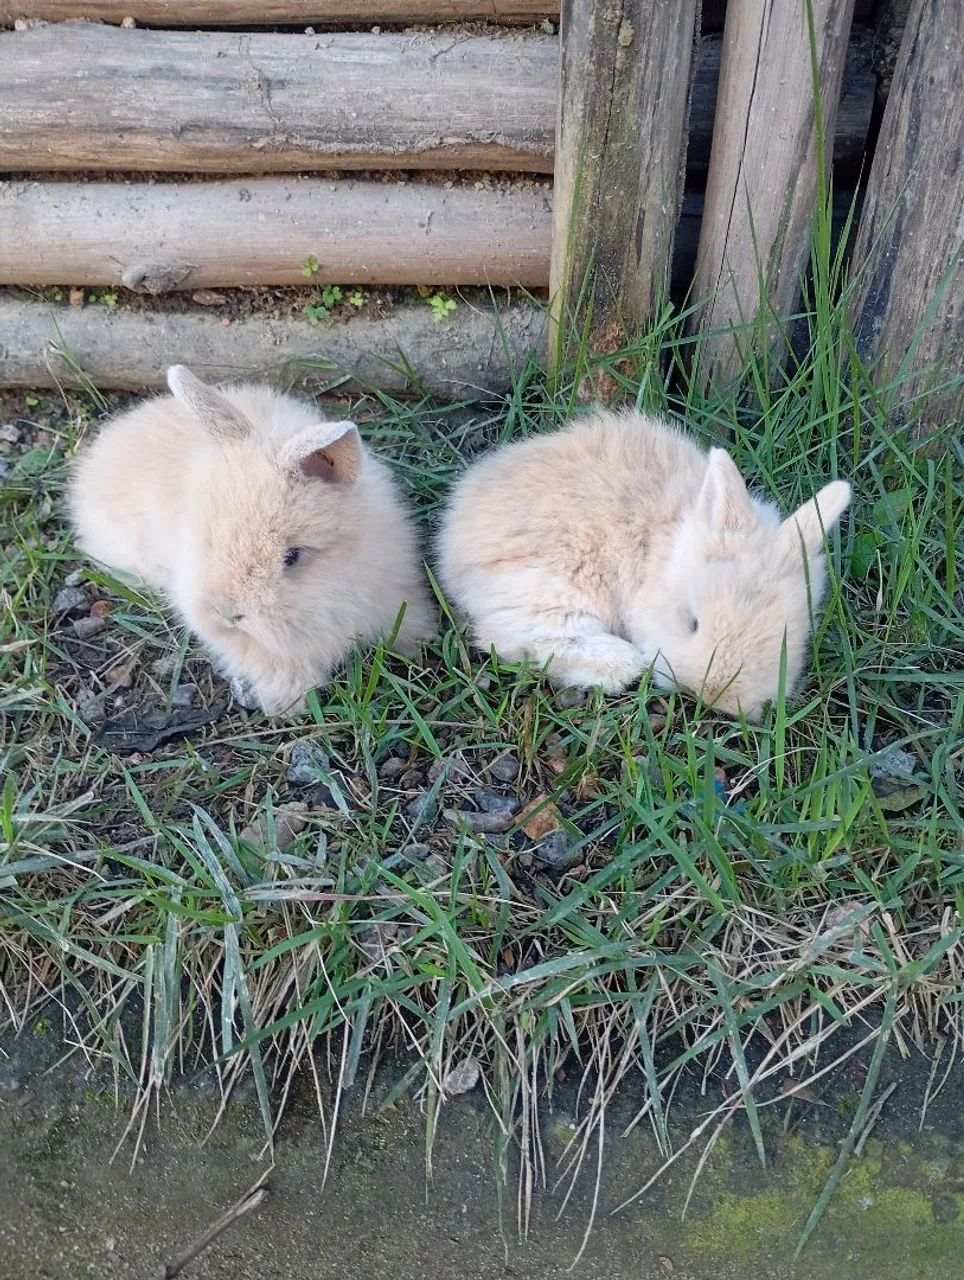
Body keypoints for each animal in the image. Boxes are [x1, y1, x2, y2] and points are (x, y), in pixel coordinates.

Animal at [436, 408, 851, 720]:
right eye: (692, 622)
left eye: (787, 640)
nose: (711, 695)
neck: (657, 548)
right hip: (551, 585)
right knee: (515, 636)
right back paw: (624, 664)